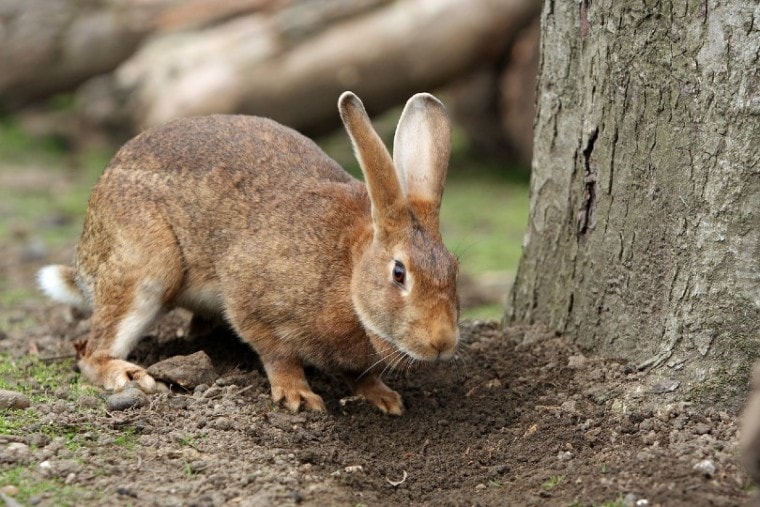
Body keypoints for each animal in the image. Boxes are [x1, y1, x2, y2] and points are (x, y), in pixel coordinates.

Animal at [38, 92, 460, 416]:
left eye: (454, 270)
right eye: (399, 273)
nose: (443, 342)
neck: (350, 271)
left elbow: (360, 375)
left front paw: (385, 399)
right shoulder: (251, 298)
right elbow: (277, 353)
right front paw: (298, 396)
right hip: (144, 269)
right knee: (92, 351)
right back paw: (128, 375)